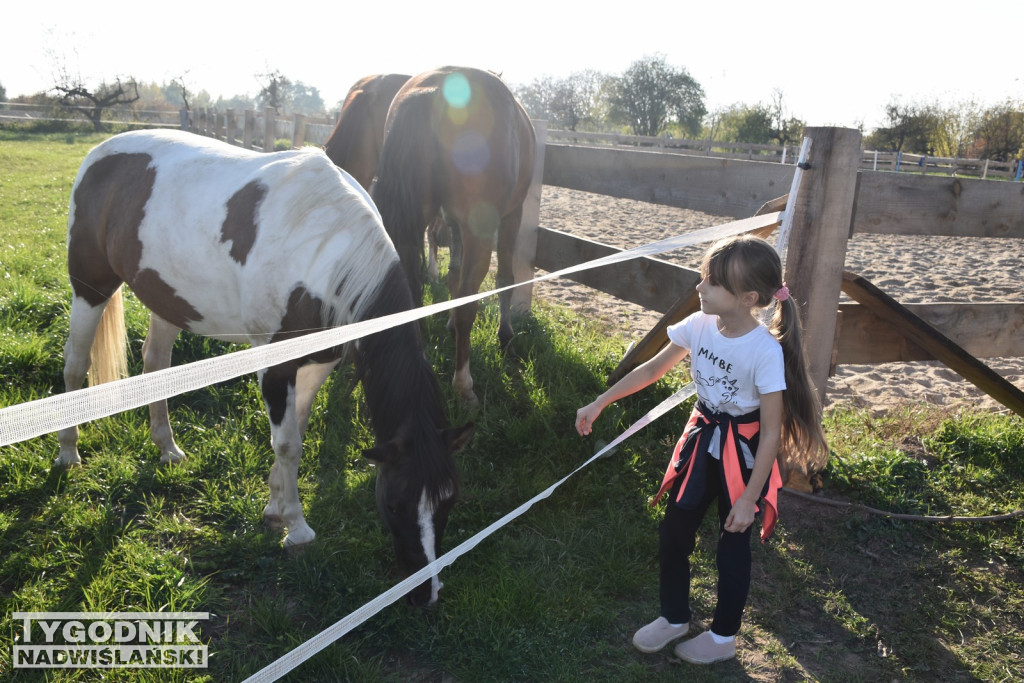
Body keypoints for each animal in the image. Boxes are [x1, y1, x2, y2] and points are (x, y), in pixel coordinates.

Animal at [56, 129, 471, 610]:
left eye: (449, 501)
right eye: (395, 504)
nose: (426, 593)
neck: (323, 248)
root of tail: (101, 152)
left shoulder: (318, 363)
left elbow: (295, 434)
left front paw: (274, 509)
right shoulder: (275, 365)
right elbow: (287, 444)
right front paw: (297, 529)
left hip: (168, 299)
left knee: (156, 362)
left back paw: (167, 447)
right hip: (89, 285)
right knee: (75, 363)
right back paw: (68, 453)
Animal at [372, 65, 540, 405]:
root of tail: (435, 91)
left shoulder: (452, 222)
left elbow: (453, 277)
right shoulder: (509, 218)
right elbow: (503, 280)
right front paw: (505, 337)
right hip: (482, 232)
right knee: (469, 305)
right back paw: (464, 385)